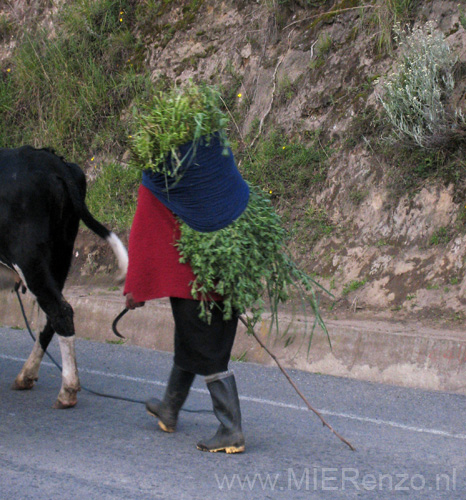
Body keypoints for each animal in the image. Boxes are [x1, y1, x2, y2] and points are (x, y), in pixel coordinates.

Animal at [0, 146, 127, 408]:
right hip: (60, 254)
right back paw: (26, 376)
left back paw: (67, 390)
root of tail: (49, 160)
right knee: (50, 317)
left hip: (29, 258)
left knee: (60, 311)